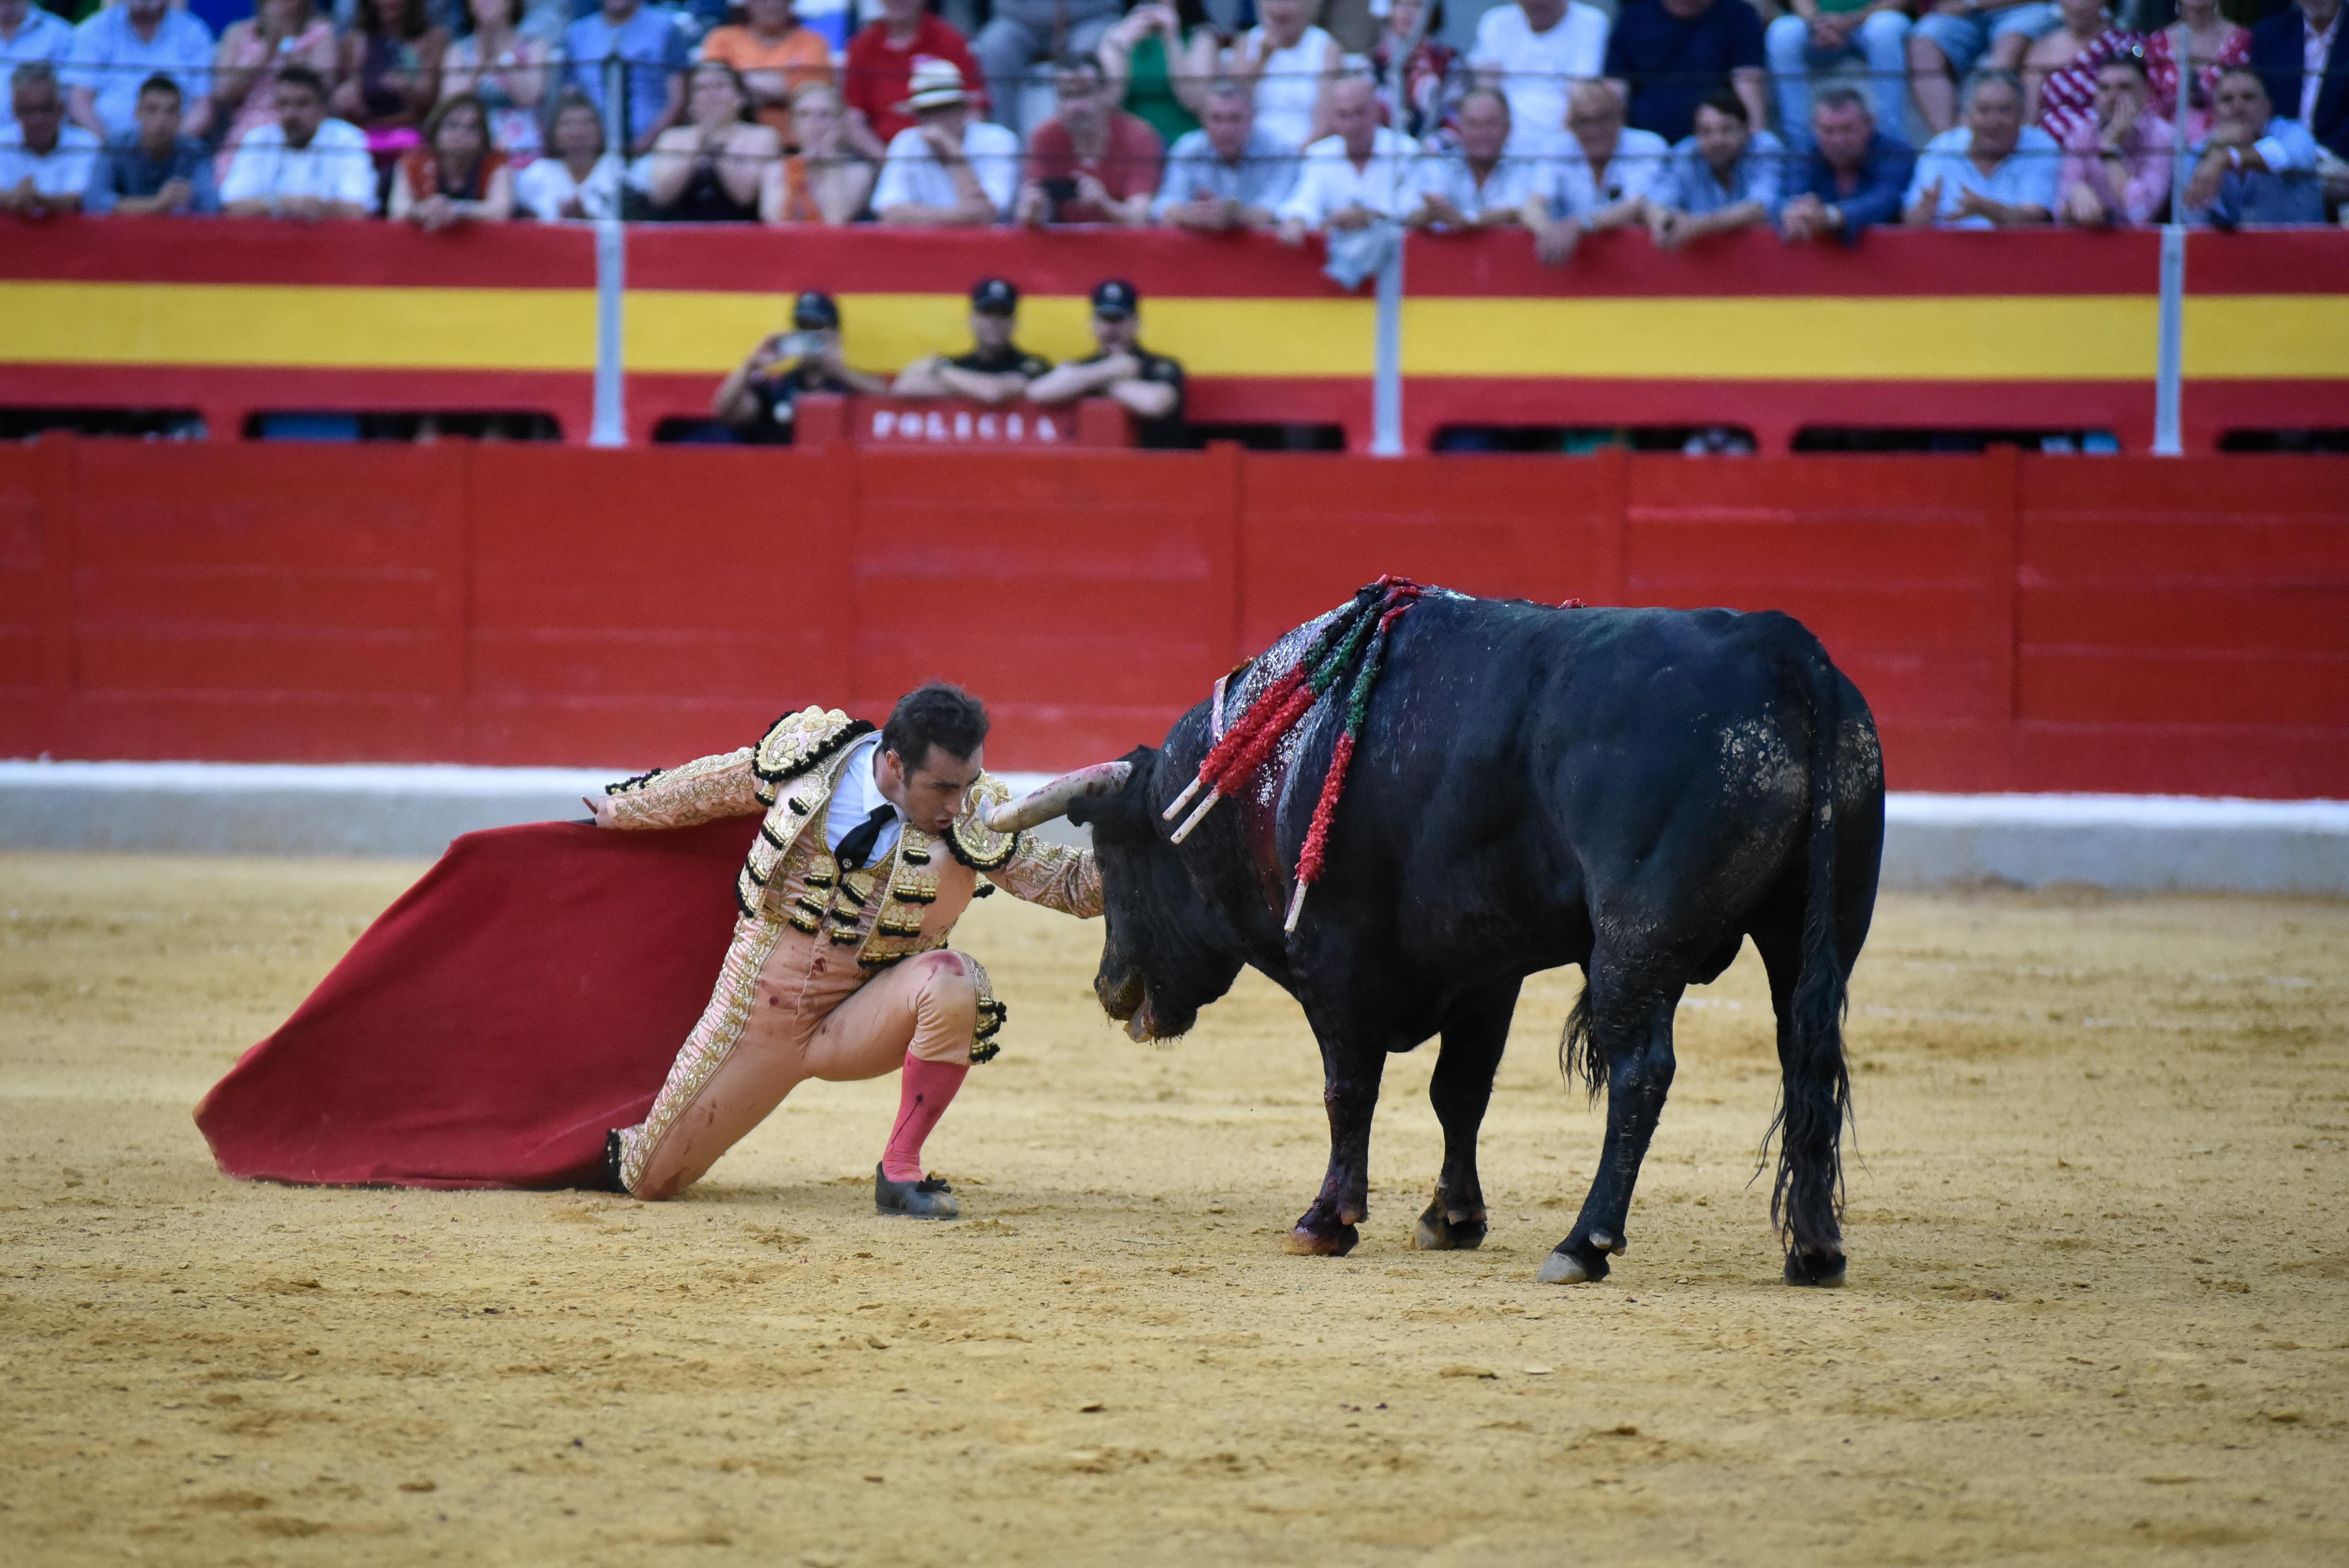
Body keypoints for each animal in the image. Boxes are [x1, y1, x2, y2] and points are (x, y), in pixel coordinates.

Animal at [991, 591, 1888, 1286]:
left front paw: (1326, 1219)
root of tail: (1786, 649)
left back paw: (1583, 1243)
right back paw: (1815, 1249)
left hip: (1637, 940)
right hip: (1816, 932)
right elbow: (1460, 1089)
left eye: (1118, 849)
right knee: (1807, 1055)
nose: (1111, 988)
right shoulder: (1487, 969)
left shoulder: (1335, 960)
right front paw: (1452, 1216)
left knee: (1642, 1070)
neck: (1268, 771)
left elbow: (1348, 1088)